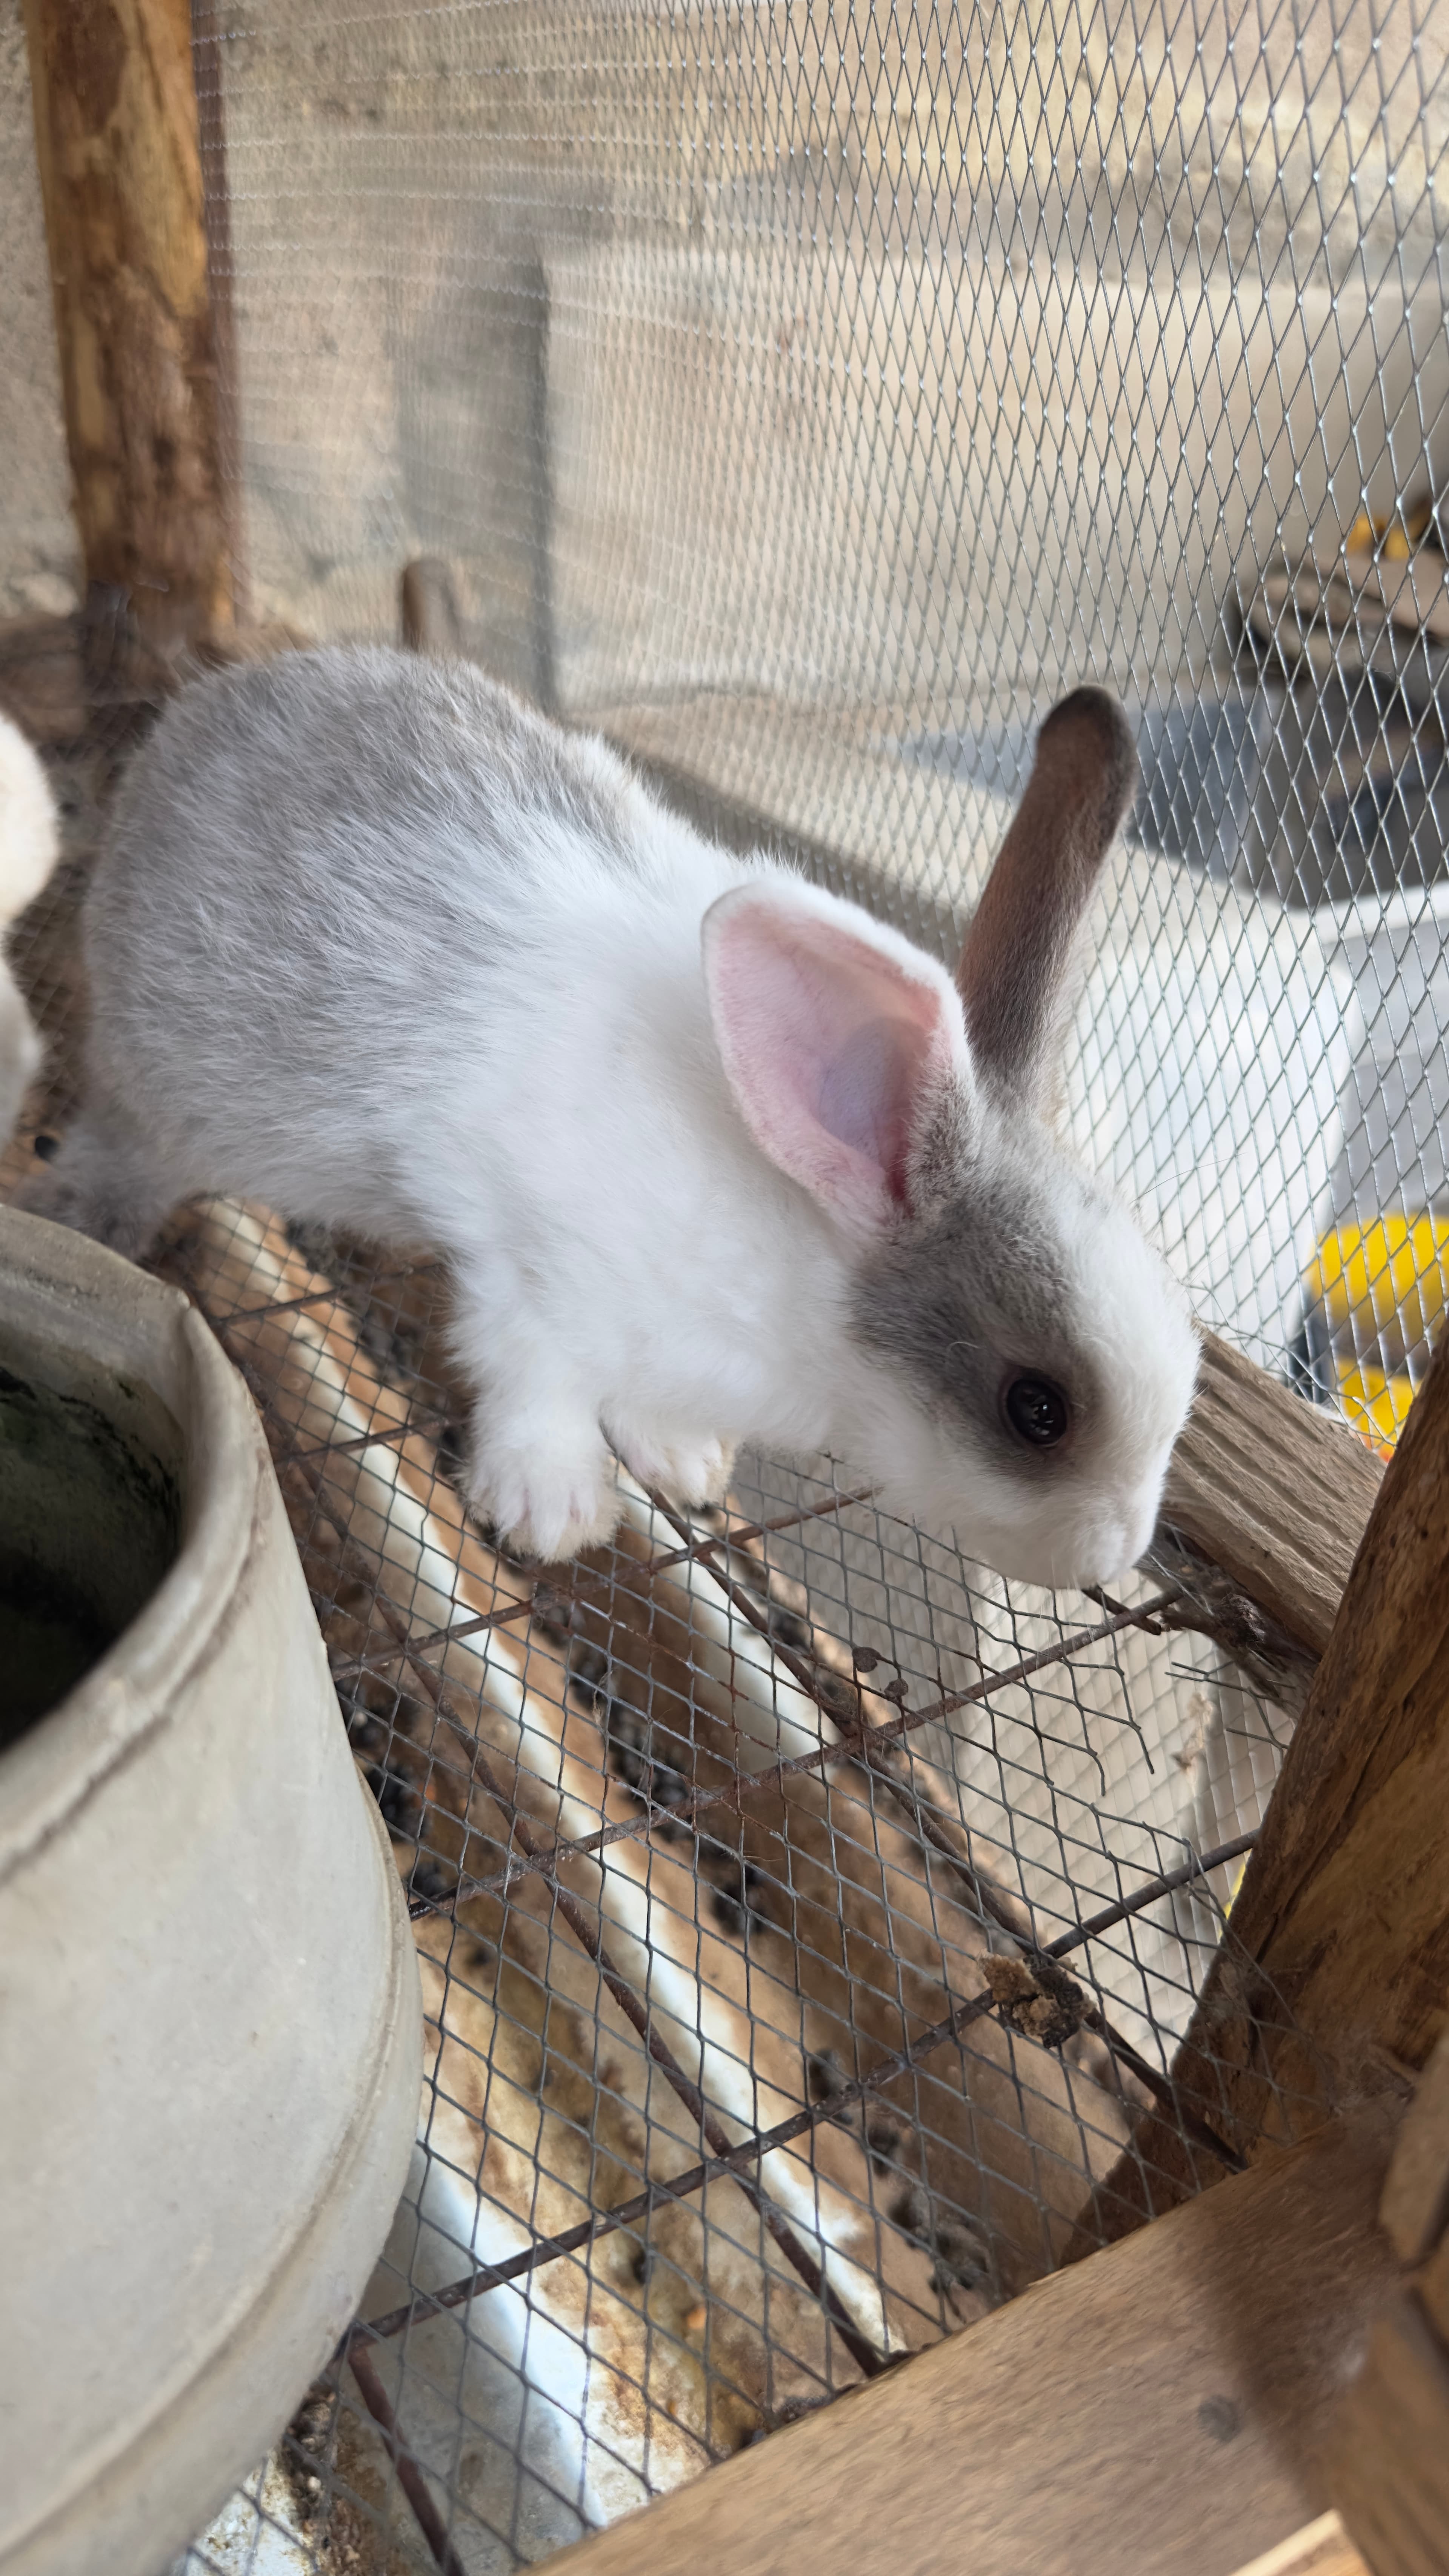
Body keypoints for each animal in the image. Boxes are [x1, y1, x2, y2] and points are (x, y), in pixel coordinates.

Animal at [24, 645, 1198, 1584]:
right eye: (1037, 1408)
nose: (1113, 1559)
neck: (807, 1244)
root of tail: (187, 723)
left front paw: (683, 1459)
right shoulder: (527, 1271)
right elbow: (533, 1378)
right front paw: (556, 1511)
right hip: (159, 1086)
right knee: (123, 1141)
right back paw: (86, 1212)